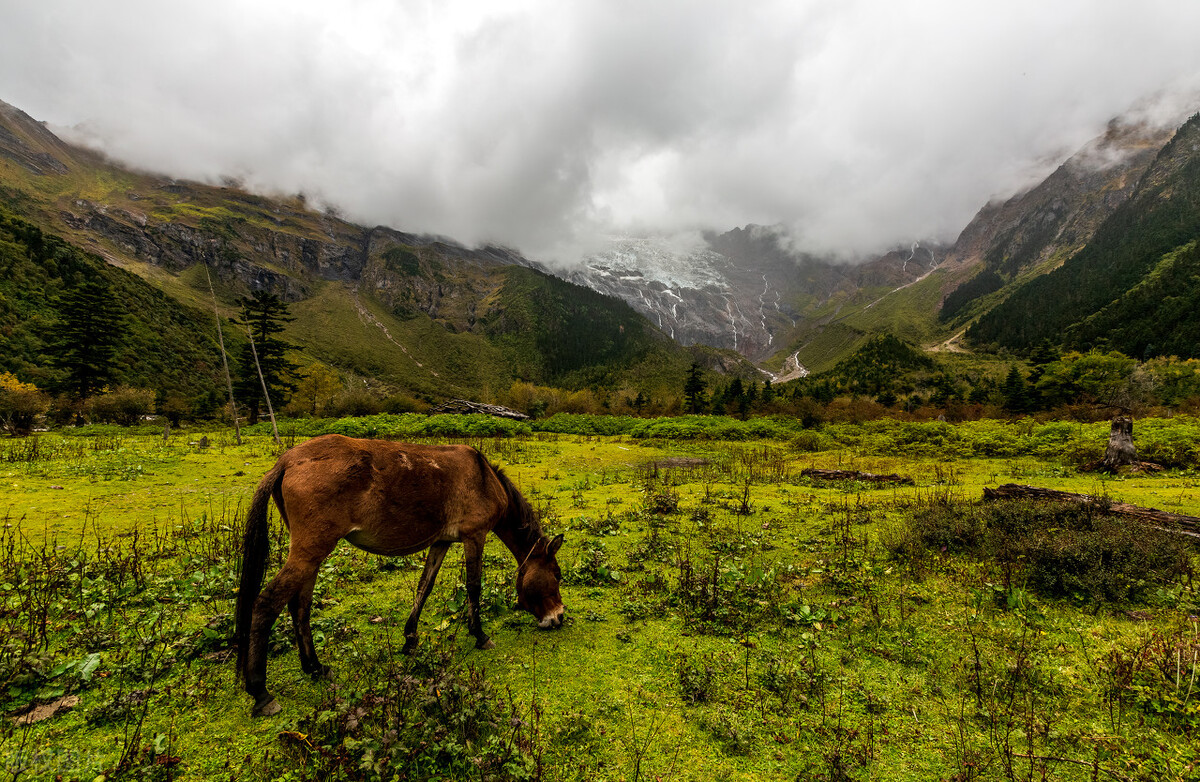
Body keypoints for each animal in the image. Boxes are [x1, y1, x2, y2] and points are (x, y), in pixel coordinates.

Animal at [238, 434, 566, 714]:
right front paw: (480, 635)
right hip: (310, 551)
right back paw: (261, 692)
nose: (559, 617)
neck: (484, 477)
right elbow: (473, 587)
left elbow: (425, 586)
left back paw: (315, 667)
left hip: (312, 555)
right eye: (557, 574)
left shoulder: (441, 541)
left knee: (299, 606)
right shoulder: (475, 536)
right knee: (266, 603)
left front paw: (410, 639)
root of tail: (287, 461)